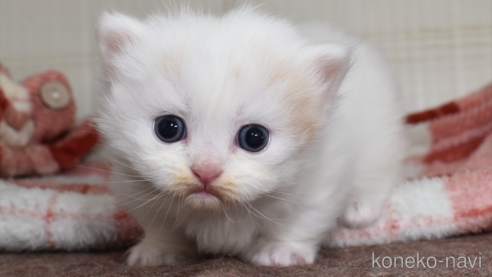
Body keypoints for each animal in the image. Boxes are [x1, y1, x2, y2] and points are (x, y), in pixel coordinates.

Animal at [95, 7, 404, 266]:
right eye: (168, 128)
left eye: (255, 138)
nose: (206, 171)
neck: (216, 213)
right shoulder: (134, 185)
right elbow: (161, 226)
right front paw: (159, 250)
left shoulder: (320, 182)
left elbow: (303, 220)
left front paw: (282, 251)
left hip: (380, 135)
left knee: (379, 172)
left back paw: (361, 208)